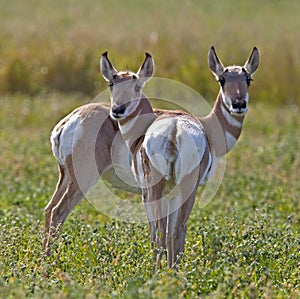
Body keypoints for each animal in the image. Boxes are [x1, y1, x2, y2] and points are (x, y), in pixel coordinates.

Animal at [101, 47, 260, 270]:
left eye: (248, 78)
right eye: (222, 79)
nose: (239, 104)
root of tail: (175, 129)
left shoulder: (154, 193)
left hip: (166, 190)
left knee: (167, 231)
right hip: (179, 191)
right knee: (174, 231)